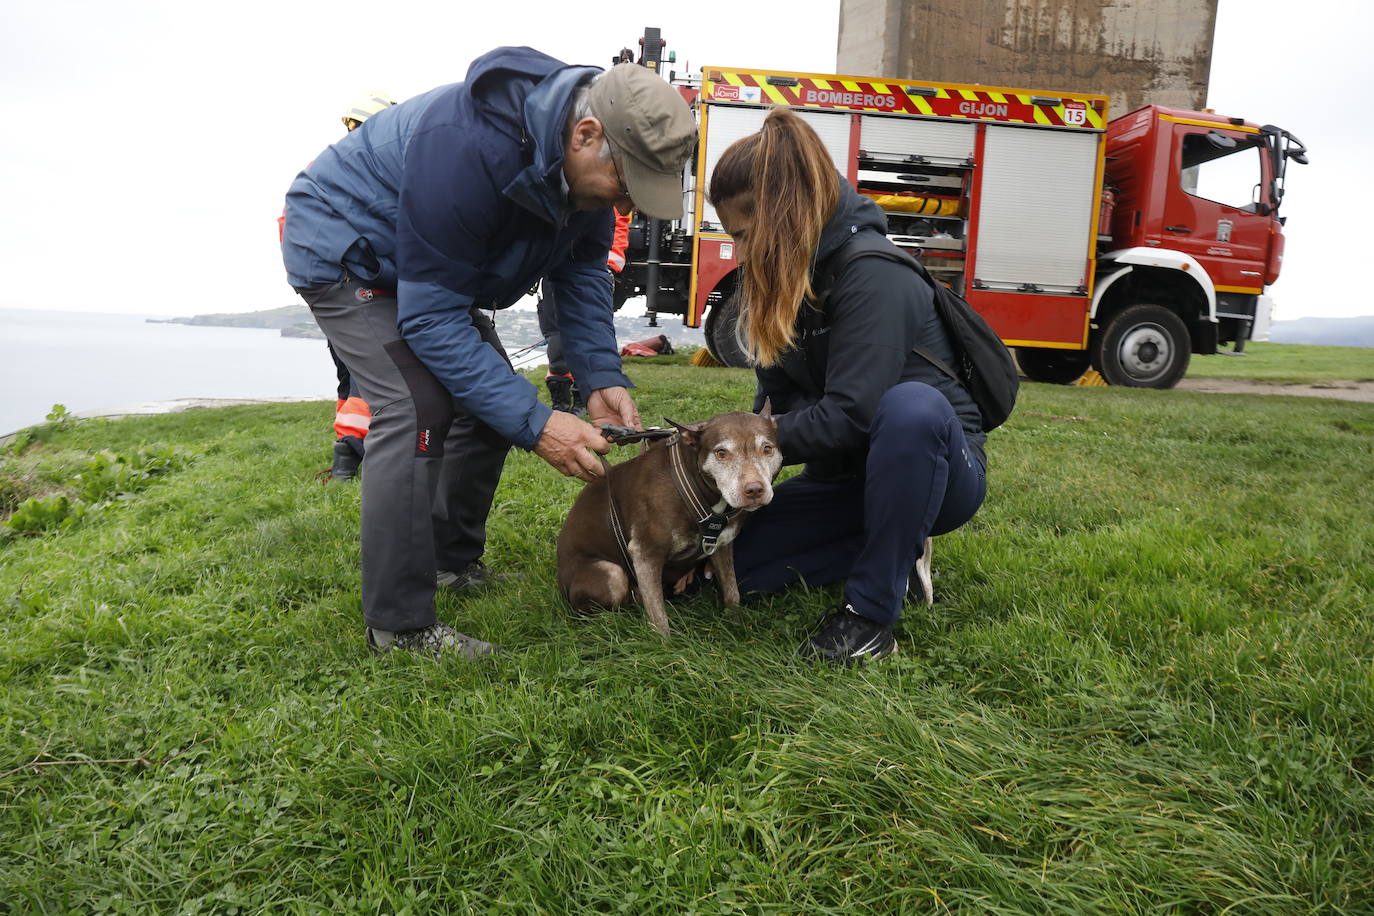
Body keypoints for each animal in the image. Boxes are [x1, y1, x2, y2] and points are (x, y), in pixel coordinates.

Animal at [549, 409, 780, 637]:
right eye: (721, 453)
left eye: (767, 449)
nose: (754, 490)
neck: (695, 484)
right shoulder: (645, 554)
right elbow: (659, 619)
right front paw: (664, 645)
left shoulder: (722, 546)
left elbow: (732, 592)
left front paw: (736, 624)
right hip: (611, 574)